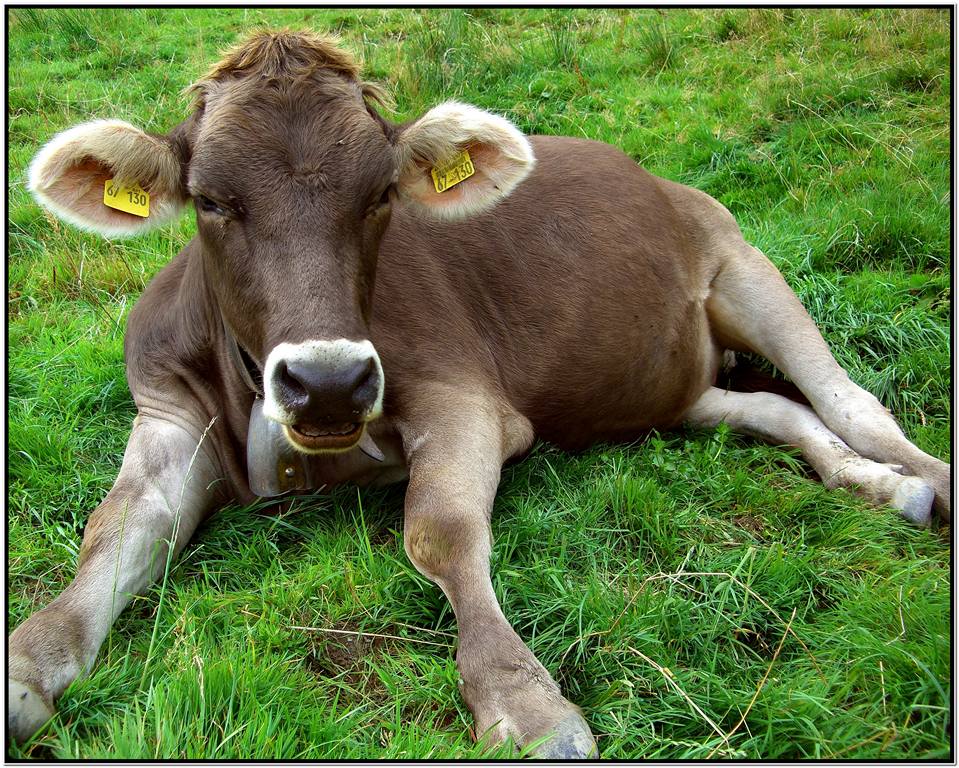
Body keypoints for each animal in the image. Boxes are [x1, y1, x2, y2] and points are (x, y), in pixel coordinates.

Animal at [9, 30, 950, 758]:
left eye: (379, 195)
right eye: (211, 200)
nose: (327, 381)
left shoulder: (462, 397)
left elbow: (440, 532)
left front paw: (523, 702)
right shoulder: (167, 415)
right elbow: (114, 530)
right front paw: (27, 664)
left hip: (741, 260)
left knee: (849, 400)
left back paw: (918, 477)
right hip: (669, 384)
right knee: (777, 411)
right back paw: (875, 483)